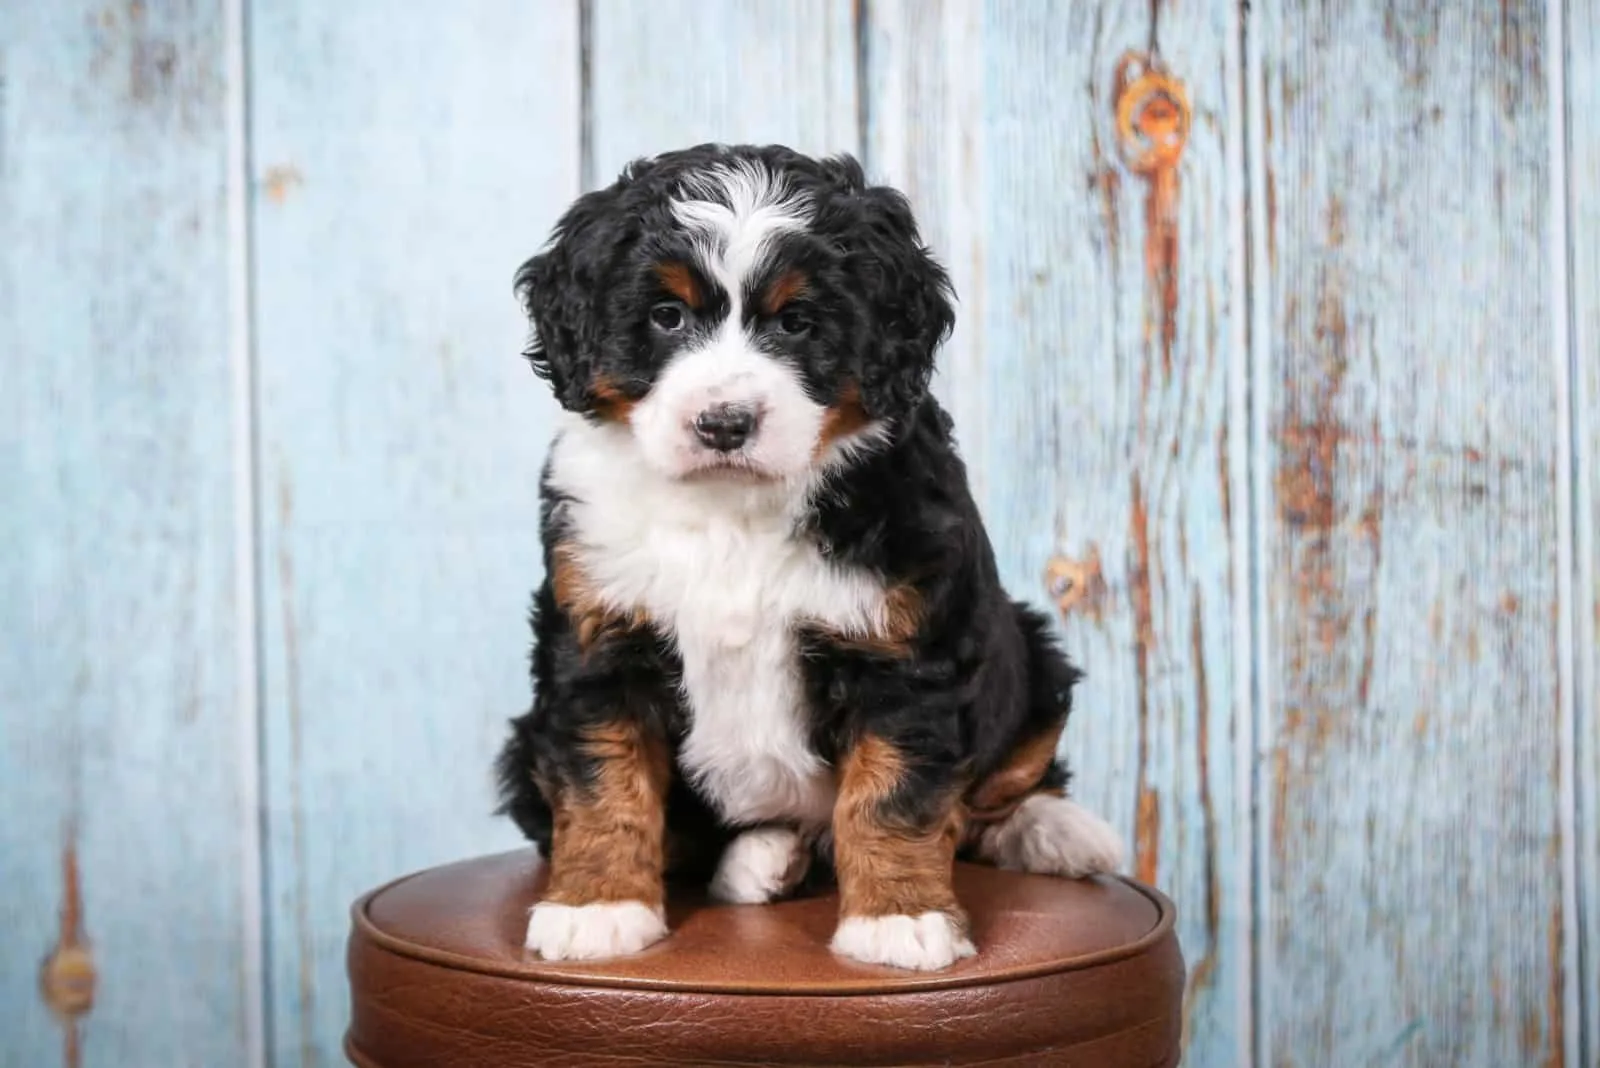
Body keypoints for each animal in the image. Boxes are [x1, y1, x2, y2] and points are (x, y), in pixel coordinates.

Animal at [492, 143, 1120, 978]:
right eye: (666, 316)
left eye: (797, 323)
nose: (724, 423)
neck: (731, 509)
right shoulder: (598, 638)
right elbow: (603, 782)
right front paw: (598, 908)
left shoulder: (905, 654)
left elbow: (894, 795)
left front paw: (899, 918)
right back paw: (764, 859)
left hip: (1031, 651)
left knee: (1008, 783)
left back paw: (1060, 833)